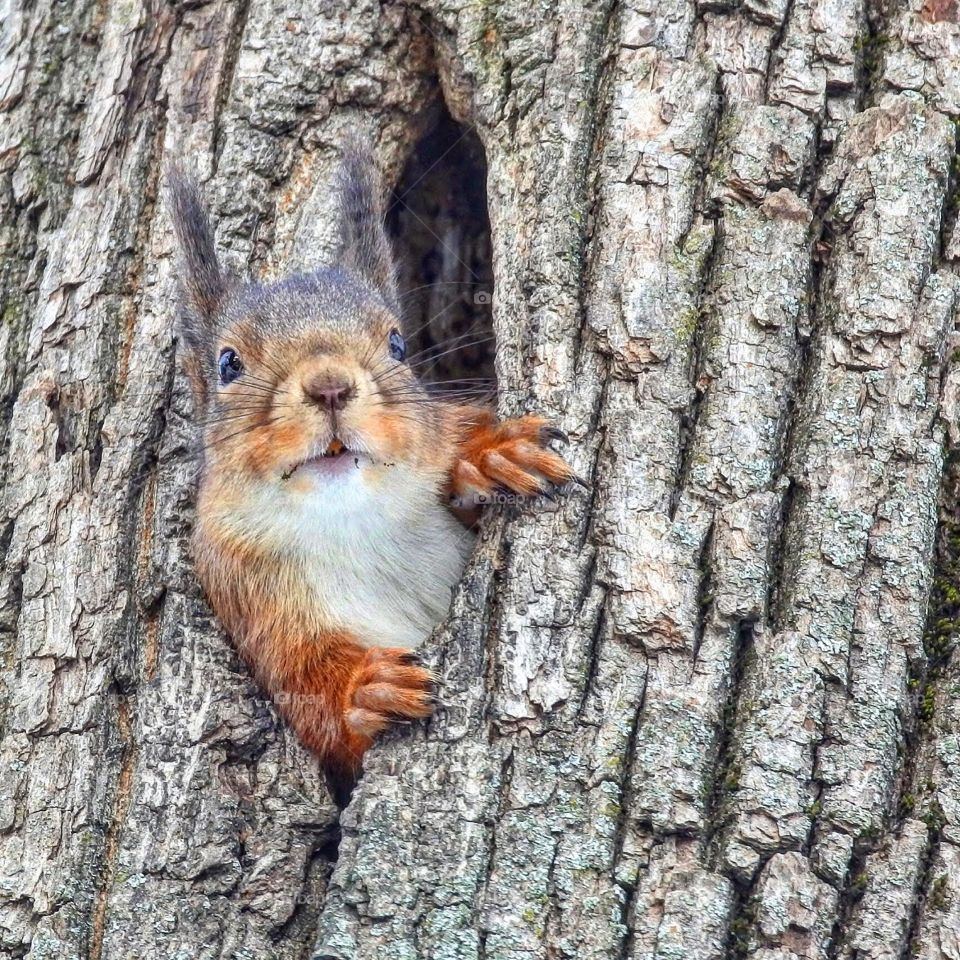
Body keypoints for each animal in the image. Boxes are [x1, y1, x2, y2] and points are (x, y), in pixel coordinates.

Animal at [166, 142, 574, 779]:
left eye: (398, 344)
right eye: (229, 363)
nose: (330, 386)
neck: (353, 520)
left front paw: (492, 455)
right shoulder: (249, 599)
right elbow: (306, 693)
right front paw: (364, 688)